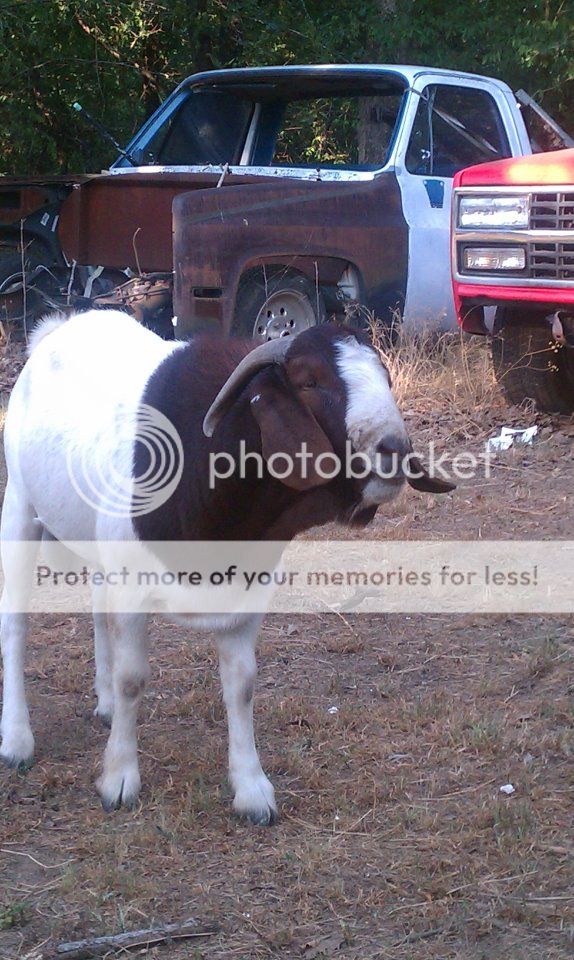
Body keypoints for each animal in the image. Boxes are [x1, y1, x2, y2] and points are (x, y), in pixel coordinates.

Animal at [0, 309, 453, 823]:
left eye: (387, 378)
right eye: (309, 380)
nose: (394, 448)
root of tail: (58, 327)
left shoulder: (247, 594)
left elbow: (241, 685)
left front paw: (252, 789)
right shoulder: (133, 587)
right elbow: (133, 678)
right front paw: (119, 779)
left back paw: (104, 703)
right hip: (20, 506)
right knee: (15, 622)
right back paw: (17, 739)